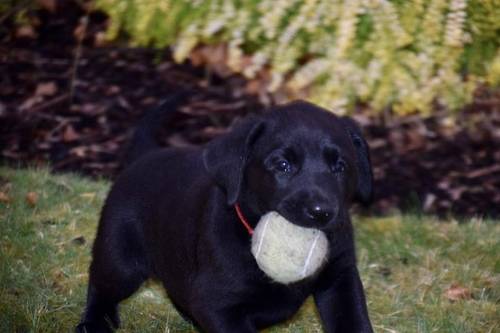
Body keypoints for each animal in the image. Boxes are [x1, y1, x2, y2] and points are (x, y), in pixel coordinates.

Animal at [77, 96, 376, 332]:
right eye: (282, 165)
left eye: (340, 167)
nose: (321, 212)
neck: (249, 230)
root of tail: (145, 155)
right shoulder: (216, 304)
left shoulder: (340, 278)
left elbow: (354, 322)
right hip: (121, 257)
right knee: (100, 282)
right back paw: (94, 323)